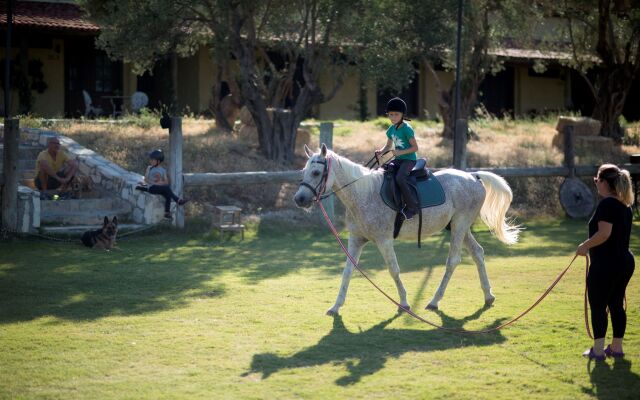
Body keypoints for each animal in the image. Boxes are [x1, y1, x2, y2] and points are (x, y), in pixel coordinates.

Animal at [296, 145, 520, 316]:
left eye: (316, 173)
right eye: (303, 172)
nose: (299, 199)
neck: (363, 194)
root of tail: (473, 176)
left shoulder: (384, 240)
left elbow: (394, 270)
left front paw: (404, 303)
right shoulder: (356, 239)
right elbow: (347, 272)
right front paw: (336, 306)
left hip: (460, 225)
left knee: (453, 261)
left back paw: (435, 301)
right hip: (460, 227)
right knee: (478, 253)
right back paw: (488, 295)